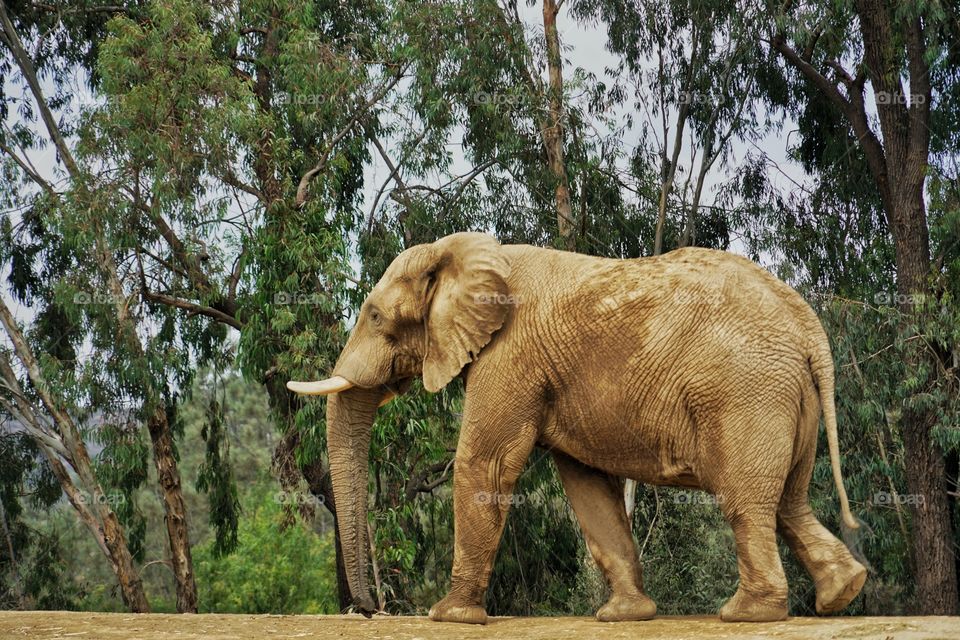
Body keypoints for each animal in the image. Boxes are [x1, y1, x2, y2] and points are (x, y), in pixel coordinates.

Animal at [288, 231, 868, 624]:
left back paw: (746, 613)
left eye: (375, 317)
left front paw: (448, 616)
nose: (369, 611)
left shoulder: (510, 355)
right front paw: (624, 617)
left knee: (747, 501)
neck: (464, 252)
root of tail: (809, 327)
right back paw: (843, 590)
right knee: (789, 500)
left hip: (745, 392)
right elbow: (587, 485)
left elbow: (486, 464)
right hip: (787, 397)